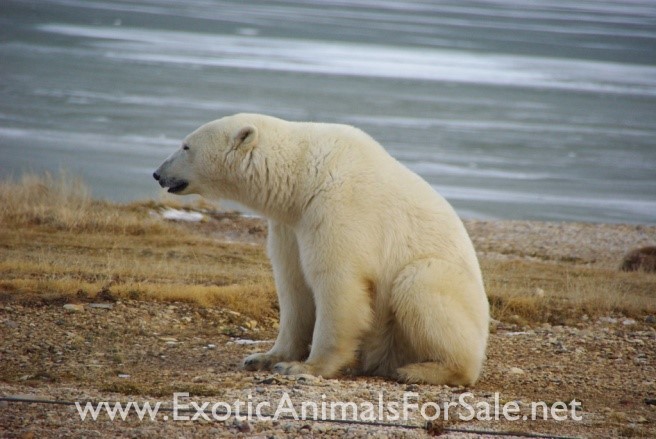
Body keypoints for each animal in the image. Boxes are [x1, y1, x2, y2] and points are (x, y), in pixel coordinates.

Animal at [155, 114, 486, 388]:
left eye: (185, 145)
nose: (157, 173)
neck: (302, 174)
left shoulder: (338, 206)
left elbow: (338, 283)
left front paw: (304, 368)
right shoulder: (290, 224)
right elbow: (293, 285)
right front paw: (263, 357)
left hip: (447, 293)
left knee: (420, 284)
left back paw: (421, 371)